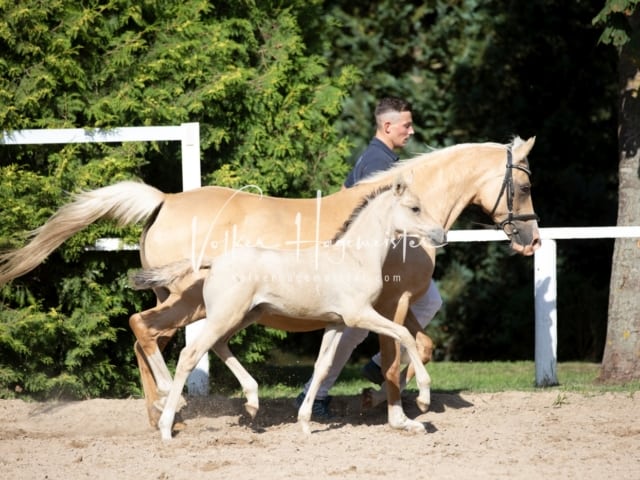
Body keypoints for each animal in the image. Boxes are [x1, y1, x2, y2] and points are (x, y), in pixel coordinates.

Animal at [132, 176, 448, 438]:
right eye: (415, 208)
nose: (441, 235)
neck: (354, 258)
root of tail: (214, 261)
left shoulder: (336, 323)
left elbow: (322, 367)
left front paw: (305, 423)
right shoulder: (360, 315)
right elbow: (404, 336)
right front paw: (424, 398)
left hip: (243, 315)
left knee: (218, 345)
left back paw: (252, 401)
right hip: (225, 316)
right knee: (189, 354)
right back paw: (166, 426)